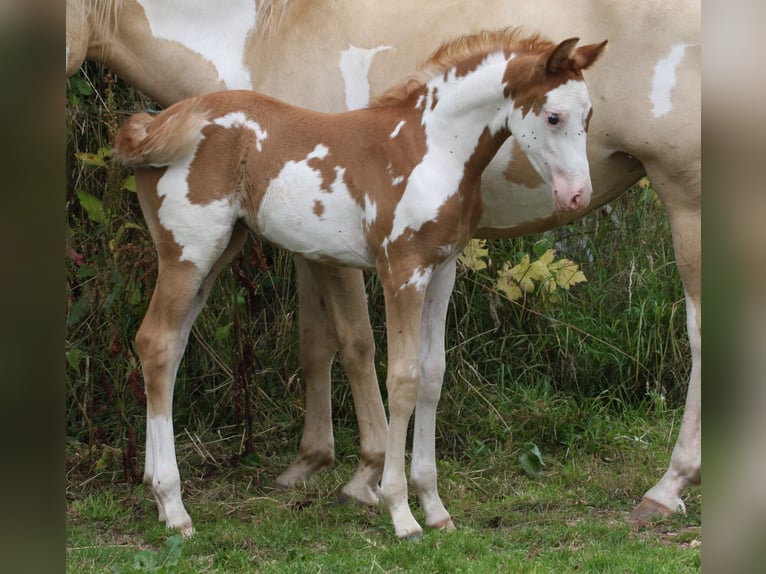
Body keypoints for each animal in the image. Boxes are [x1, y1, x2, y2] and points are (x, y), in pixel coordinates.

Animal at [67, 0, 704, 532]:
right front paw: (397, 508)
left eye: (589, 115)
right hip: (194, 252)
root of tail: (159, 125)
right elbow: (392, 370)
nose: (575, 196)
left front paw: (430, 505)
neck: (429, 146)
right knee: (159, 345)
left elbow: (428, 373)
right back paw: (173, 507)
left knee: (164, 347)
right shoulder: (399, 269)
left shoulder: (439, 267)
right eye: (552, 116)